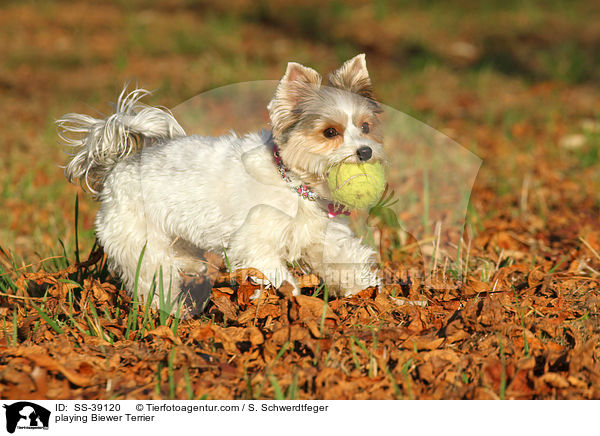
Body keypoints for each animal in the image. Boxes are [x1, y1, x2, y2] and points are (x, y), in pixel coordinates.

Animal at [58, 54, 386, 310]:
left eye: (365, 127)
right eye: (330, 132)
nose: (365, 151)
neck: (294, 184)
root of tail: (117, 165)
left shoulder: (321, 237)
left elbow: (343, 259)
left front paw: (366, 292)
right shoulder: (256, 244)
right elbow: (275, 276)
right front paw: (287, 301)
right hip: (140, 240)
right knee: (153, 275)